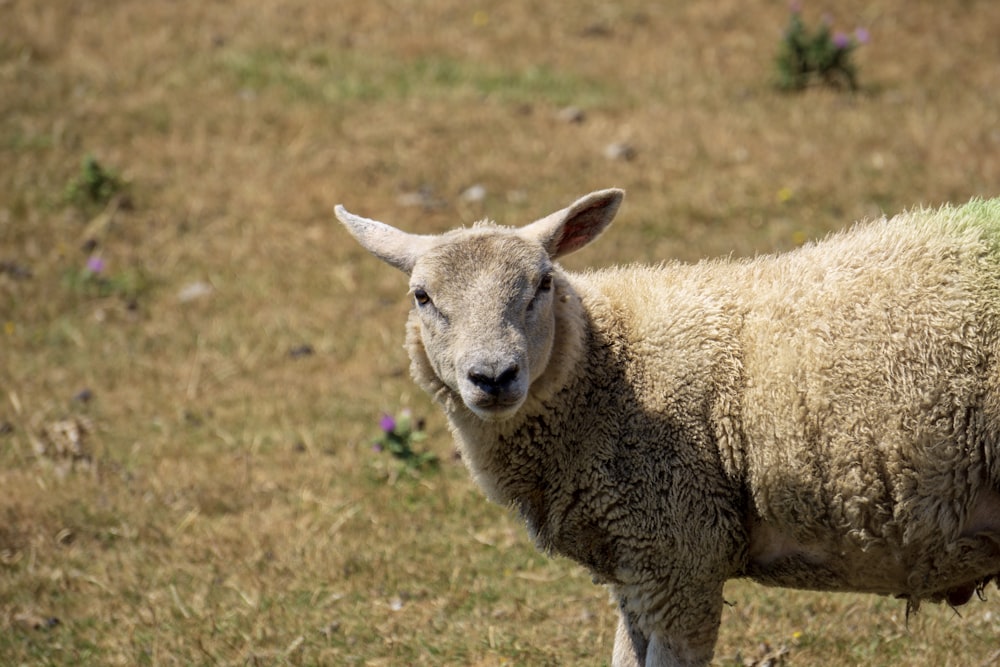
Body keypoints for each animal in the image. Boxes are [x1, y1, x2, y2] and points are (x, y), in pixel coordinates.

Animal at [336, 189, 1000, 667]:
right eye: (422, 297)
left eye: (544, 283)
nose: (493, 376)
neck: (610, 373)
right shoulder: (636, 569)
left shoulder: (683, 551)